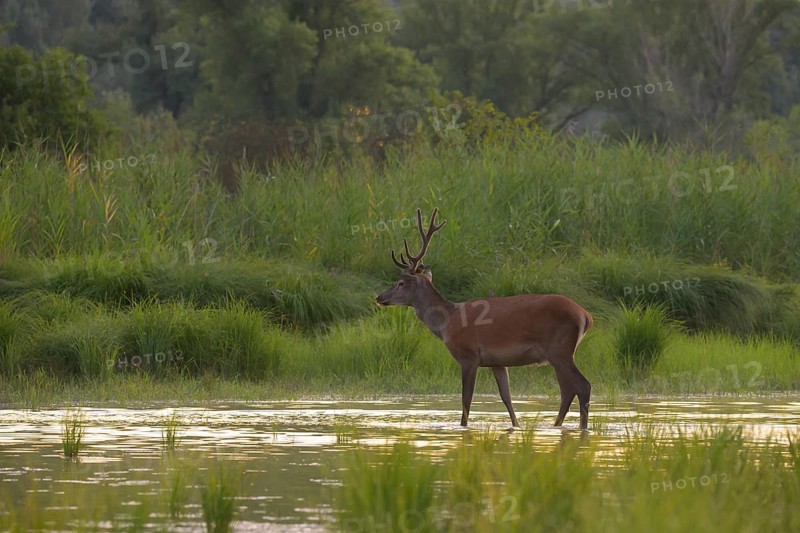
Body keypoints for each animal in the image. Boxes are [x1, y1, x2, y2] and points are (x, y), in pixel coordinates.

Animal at [376, 208, 593, 430]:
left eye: (400, 283)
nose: (379, 297)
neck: (448, 322)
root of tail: (585, 315)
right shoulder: (497, 362)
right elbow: (507, 398)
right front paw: (516, 426)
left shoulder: (469, 356)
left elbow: (466, 400)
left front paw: (463, 428)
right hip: (559, 354)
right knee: (568, 390)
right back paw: (558, 426)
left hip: (559, 349)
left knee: (582, 386)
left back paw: (582, 428)